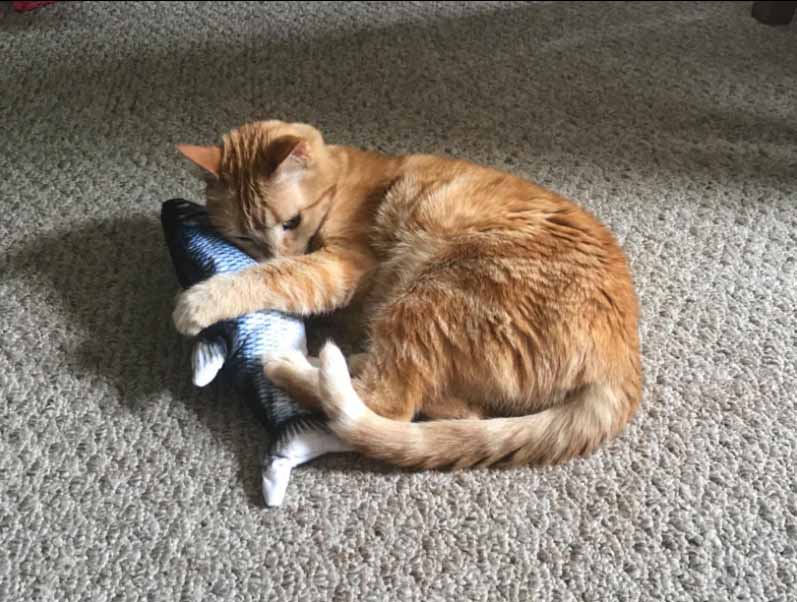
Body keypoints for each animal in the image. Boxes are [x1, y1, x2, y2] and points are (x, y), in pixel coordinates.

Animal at [174, 119, 643, 469]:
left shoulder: (339, 266)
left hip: (432, 293)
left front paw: (200, 301)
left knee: (387, 403)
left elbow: (273, 277)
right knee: (447, 408)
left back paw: (292, 366)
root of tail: (623, 360)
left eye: (291, 222)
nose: (274, 250)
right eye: (242, 236)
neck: (341, 181)